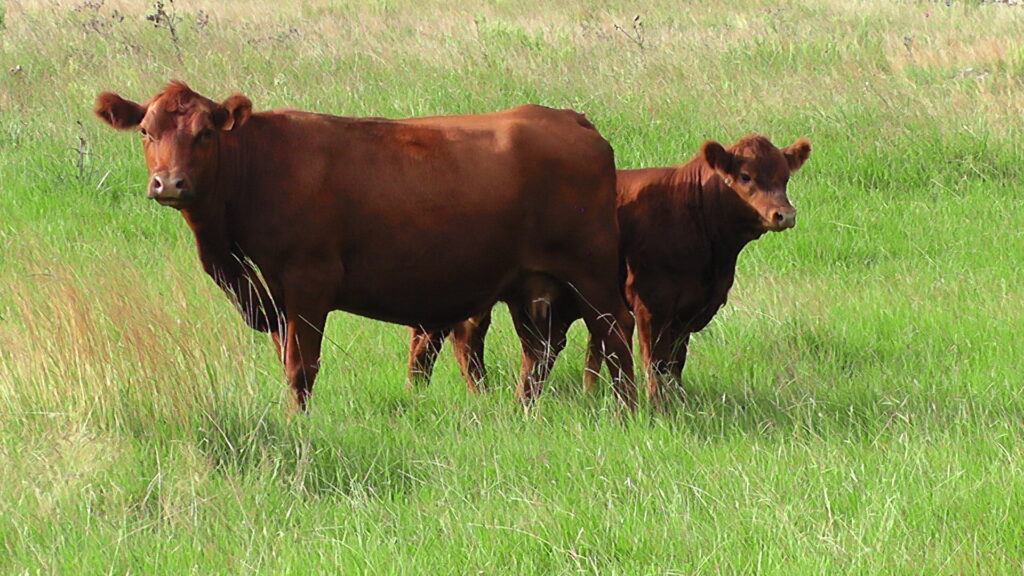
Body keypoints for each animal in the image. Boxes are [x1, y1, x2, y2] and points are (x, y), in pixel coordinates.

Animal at [95, 81, 636, 411]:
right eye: (145, 131)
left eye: (205, 133)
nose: (170, 183)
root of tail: (570, 119)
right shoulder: (274, 293)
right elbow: (285, 357)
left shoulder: (308, 282)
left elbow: (301, 366)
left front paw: (298, 423)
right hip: (527, 283)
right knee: (538, 350)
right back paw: (523, 410)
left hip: (591, 272)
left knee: (616, 333)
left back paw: (629, 409)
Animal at [409, 134, 811, 404]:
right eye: (745, 176)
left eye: (784, 177)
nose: (785, 214)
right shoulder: (651, 303)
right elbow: (654, 361)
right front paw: (658, 407)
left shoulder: (691, 308)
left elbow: (674, 362)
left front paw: (676, 401)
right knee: (454, 339)